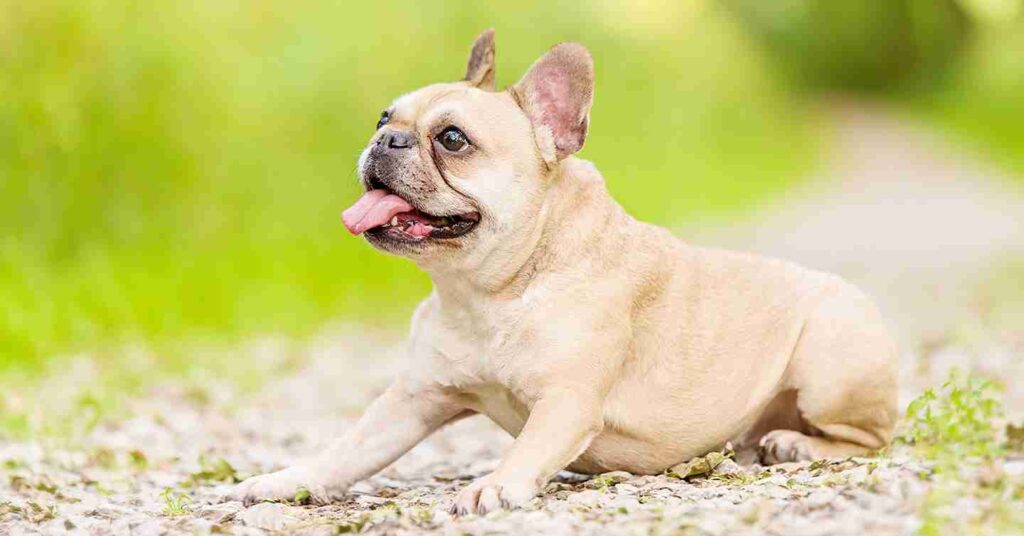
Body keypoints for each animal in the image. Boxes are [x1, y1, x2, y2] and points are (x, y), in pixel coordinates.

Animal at [230, 29, 897, 516]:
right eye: (381, 118)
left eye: (452, 139)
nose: (387, 140)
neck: (488, 292)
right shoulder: (415, 398)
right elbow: (349, 448)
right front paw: (285, 479)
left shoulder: (567, 402)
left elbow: (530, 448)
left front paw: (494, 484)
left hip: (829, 361)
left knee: (869, 439)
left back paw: (794, 442)